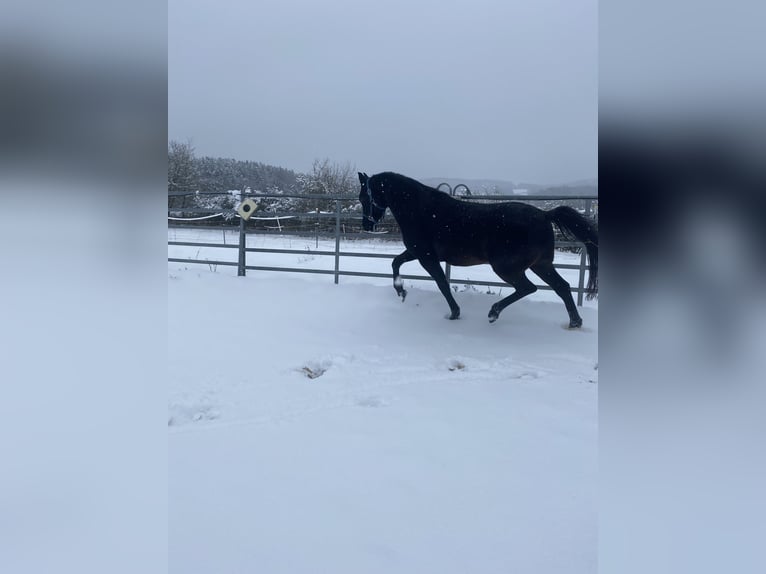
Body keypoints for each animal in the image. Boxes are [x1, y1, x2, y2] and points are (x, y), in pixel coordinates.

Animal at [360, 171, 600, 328]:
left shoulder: (426, 257)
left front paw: (454, 313)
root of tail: (544, 214)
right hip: (541, 264)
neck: (421, 210)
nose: (367, 225)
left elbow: (442, 283)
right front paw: (401, 291)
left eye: (364, 197)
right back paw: (575, 322)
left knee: (528, 288)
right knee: (562, 287)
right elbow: (395, 262)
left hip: (507, 268)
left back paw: (494, 313)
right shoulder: (416, 252)